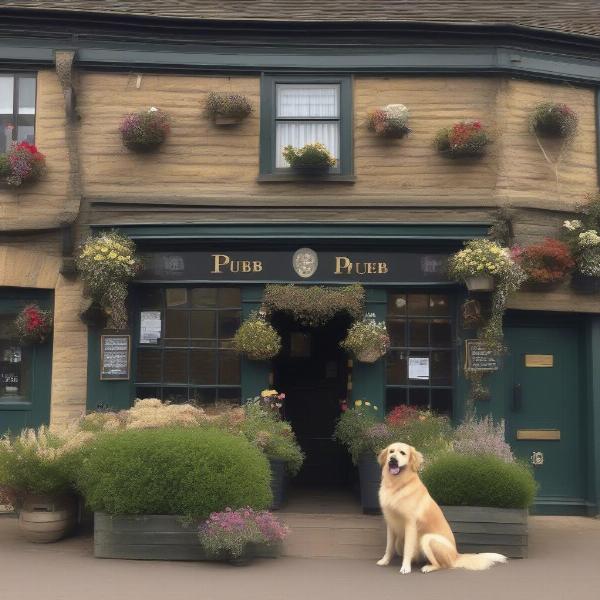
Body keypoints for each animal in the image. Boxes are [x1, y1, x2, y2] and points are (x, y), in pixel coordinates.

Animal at [378, 442, 504, 576]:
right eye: (391, 451)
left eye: (402, 453)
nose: (393, 460)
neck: (397, 486)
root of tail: (456, 555)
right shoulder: (390, 525)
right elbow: (388, 547)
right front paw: (384, 561)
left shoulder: (410, 524)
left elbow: (408, 548)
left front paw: (405, 567)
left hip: (428, 539)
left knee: (441, 565)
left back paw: (428, 567)